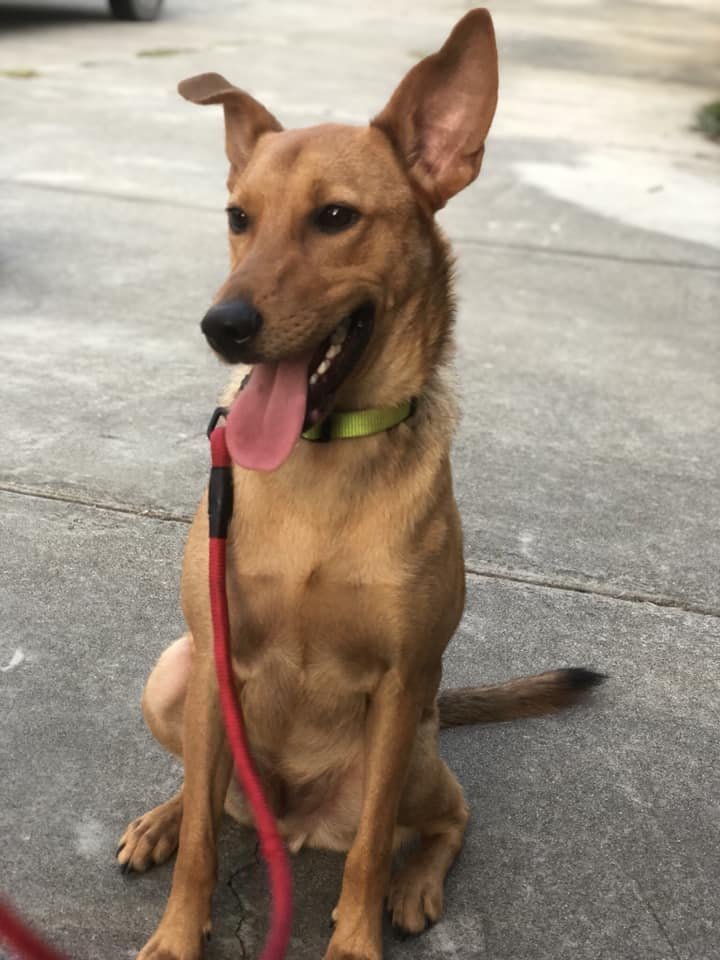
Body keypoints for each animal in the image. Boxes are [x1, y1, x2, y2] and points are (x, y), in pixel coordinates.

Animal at [118, 9, 600, 960]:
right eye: (238, 217)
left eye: (336, 217)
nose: (221, 327)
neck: (320, 457)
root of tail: (292, 823)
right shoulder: (214, 660)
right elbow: (201, 849)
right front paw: (178, 932)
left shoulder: (401, 682)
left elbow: (370, 854)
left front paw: (358, 938)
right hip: (177, 675)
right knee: (204, 800)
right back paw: (161, 819)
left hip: (414, 746)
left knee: (448, 819)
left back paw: (417, 885)